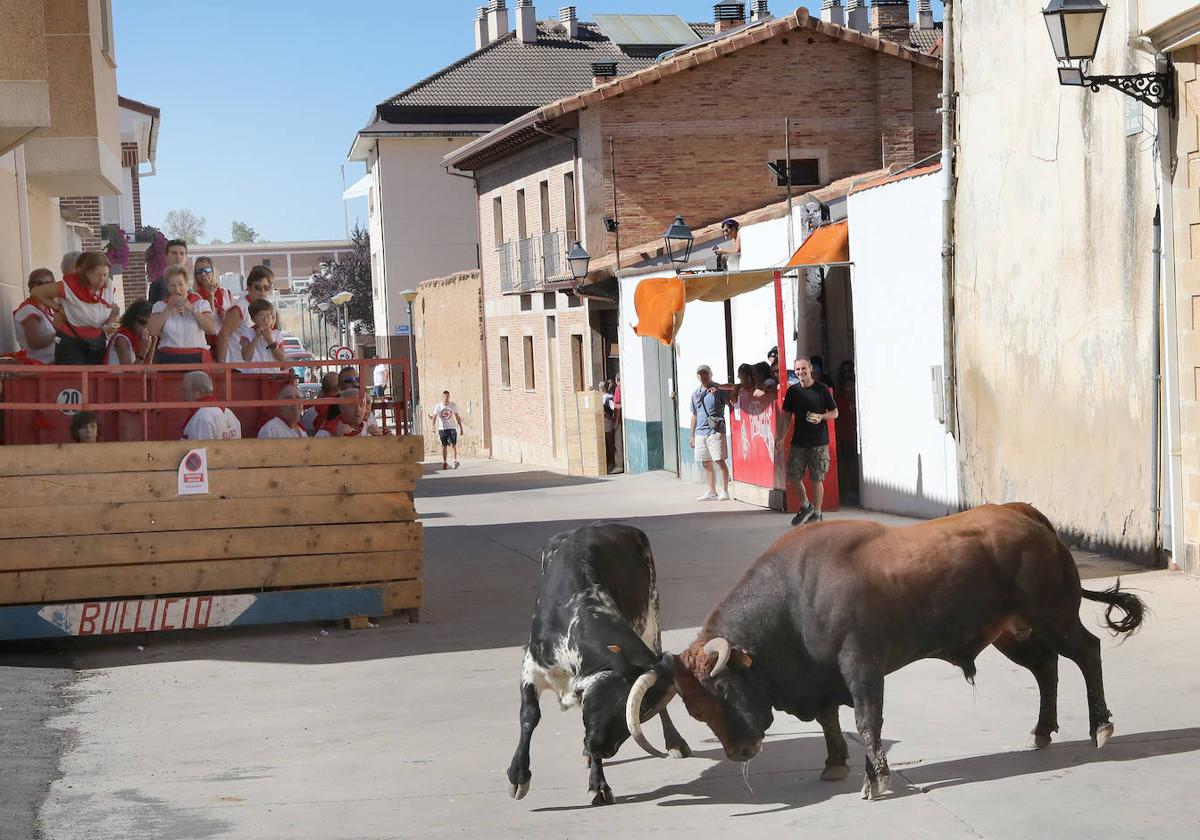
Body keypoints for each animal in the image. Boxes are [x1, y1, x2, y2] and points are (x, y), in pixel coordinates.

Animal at [508, 525, 696, 806]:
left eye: (642, 711)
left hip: (653, 622)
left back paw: (674, 741)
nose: (600, 748)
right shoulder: (532, 665)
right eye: (597, 702)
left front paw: (598, 785)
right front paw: (518, 774)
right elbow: (529, 716)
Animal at [624, 506, 1147, 801]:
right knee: (1045, 668)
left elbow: (864, 720)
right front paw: (835, 762)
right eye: (695, 709)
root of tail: (1030, 518)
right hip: (1013, 633)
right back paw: (1041, 731)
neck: (796, 596)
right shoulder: (823, 678)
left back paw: (1100, 726)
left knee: (1086, 652)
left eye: (725, 691)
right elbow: (830, 720)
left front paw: (875, 777)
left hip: (1054, 616)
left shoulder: (862, 666)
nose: (740, 753)